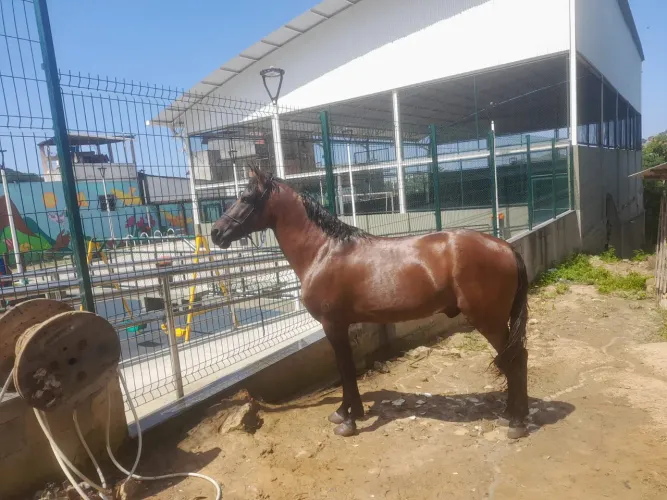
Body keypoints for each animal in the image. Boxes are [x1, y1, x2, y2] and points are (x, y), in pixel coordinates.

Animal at [211, 166, 529, 439]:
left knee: (516, 359)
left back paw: (516, 421)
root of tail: (506, 247)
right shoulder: (343, 326)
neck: (324, 252)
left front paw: (349, 421)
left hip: (489, 320)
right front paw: (346, 412)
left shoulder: (333, 325)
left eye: (245, 197)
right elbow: (347, 369)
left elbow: (345, 369)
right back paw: (511, 413)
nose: (216, 232)